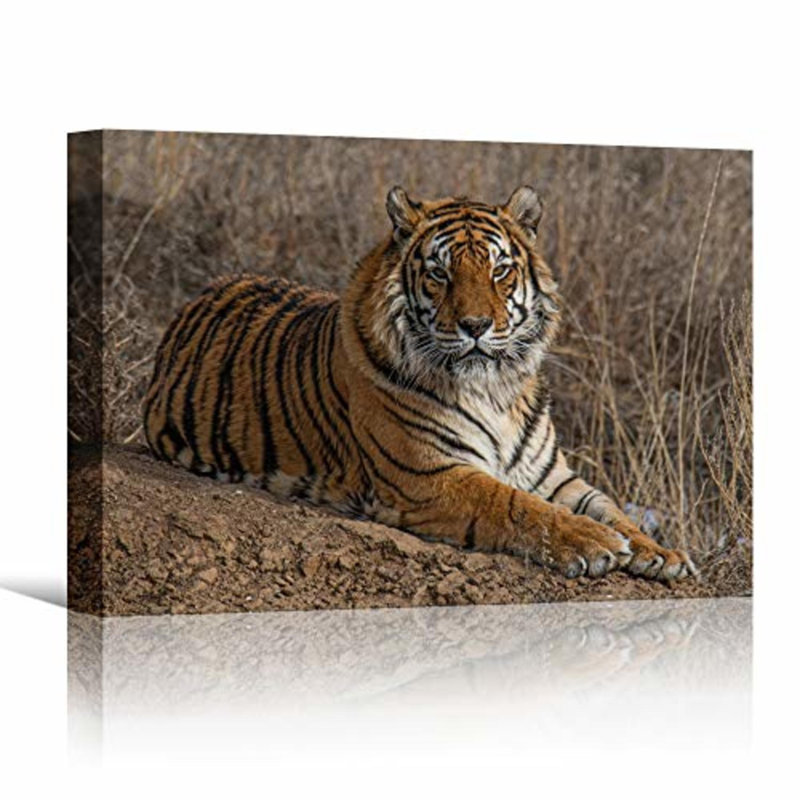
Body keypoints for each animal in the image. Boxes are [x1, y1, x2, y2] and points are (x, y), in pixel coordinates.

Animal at [143, 186, 696, 581]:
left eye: (499, 271)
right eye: (439, 273)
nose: (476, 326)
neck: (495, 390)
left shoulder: (553, 476)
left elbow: (610, 507)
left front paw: (660, 552)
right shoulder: (429, 476)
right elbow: (517, 506)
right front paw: (595, 544)